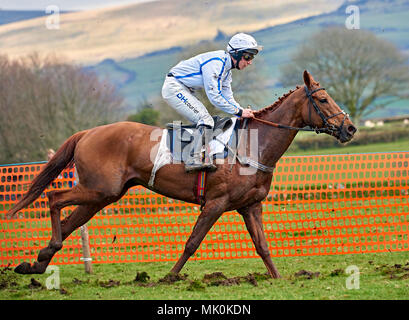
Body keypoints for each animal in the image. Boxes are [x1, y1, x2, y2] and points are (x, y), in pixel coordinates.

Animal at [7, 70, 356, 278]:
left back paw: (37, 262)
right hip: (99, 189)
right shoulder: (216, 203)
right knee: (54, 197)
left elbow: (263, 245)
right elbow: (192, 242)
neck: (252, 145)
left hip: (103, 195)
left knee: (69, 221)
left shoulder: (249, 206)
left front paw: (277, 278)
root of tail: (87, 132)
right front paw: (170, 276)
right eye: (322, 99)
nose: (350, 128)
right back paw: (43, 253)